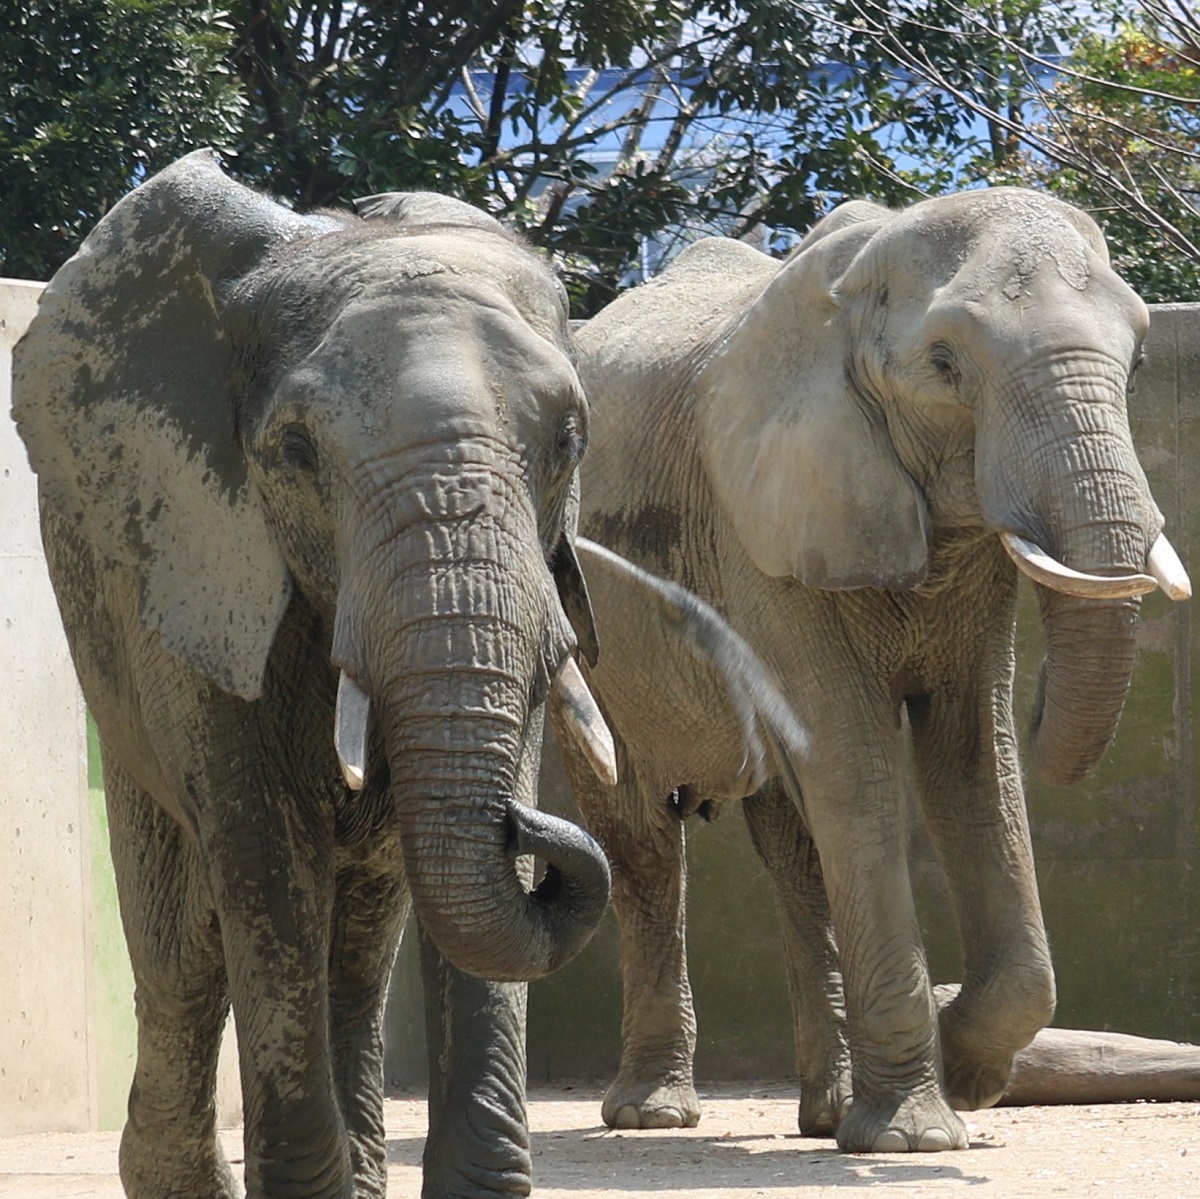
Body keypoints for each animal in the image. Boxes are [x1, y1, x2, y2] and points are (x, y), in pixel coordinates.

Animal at [559, 192, 1190, 1156]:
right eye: (944, 364)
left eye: (1142, 357)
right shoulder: (765, 520)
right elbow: (855, 762)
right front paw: (918, 1132)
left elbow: (974, 760)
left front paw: (964, 1071)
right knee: (641, 837)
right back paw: (652, 1113)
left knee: (793, 845)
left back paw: (825, 1114)